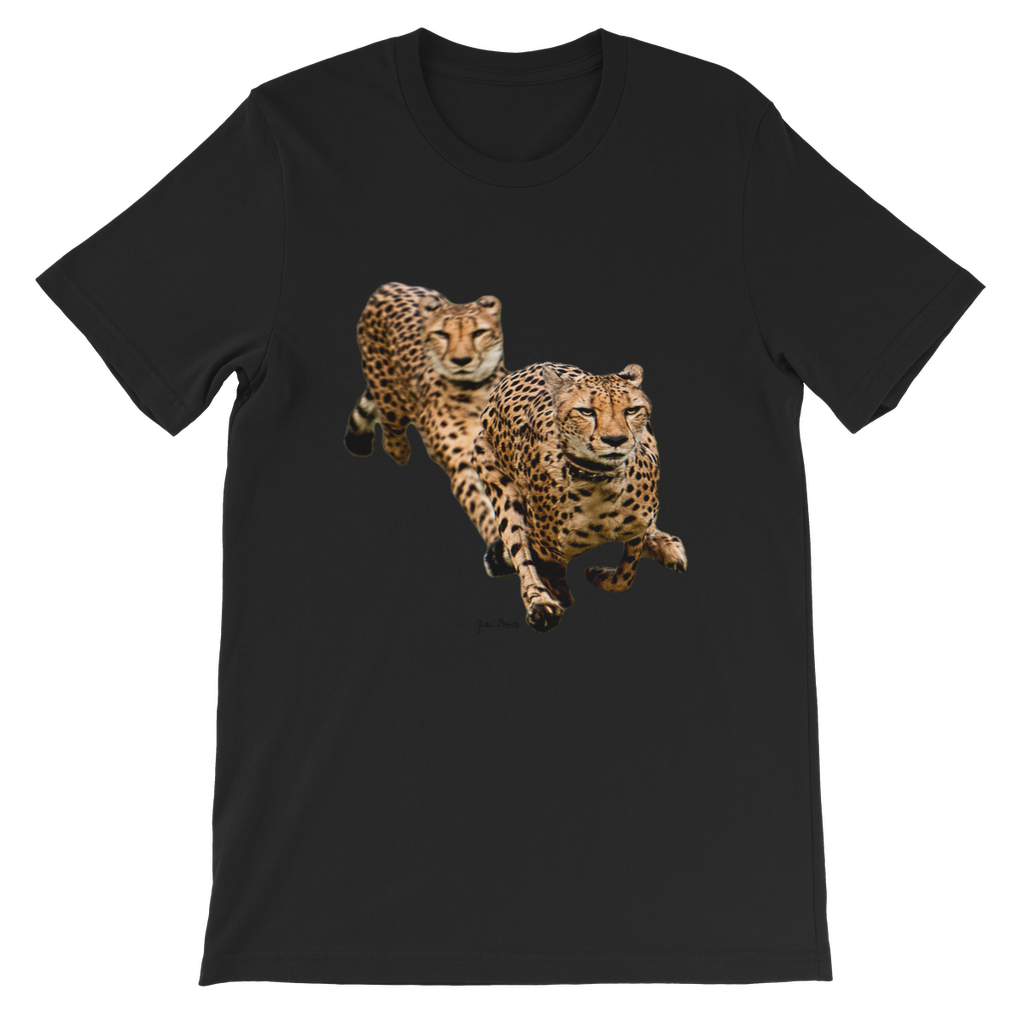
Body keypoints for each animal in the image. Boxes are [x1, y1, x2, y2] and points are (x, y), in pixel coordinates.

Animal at [344, 282, 509, 548]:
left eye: (478, 333)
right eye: (442, 334)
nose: (461, 360)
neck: (474, 390)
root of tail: (389, 285)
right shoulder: (462, 466)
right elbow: (482, 508)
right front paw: (497, 542)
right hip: (389, 398)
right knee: (391, 433)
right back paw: (400, 450)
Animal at [472, 361, 687, 632]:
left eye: (631, 410)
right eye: (586, 412)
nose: (615, 440)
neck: (600, 481)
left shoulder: (638, 524)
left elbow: (625, 575)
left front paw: (599, 575)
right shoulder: (545, 548)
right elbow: (547, 570)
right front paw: (557, 597)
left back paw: (666, 545)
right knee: (519, 548)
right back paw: (540, 604)